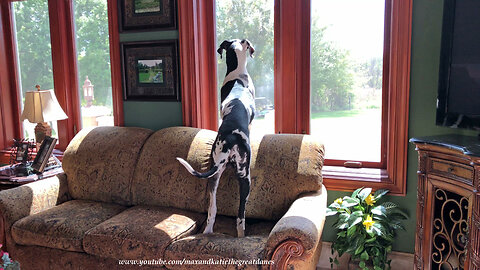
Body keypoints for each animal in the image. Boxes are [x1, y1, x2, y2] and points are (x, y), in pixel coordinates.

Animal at [177, 39, 255, 237]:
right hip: (245, 177)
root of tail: (230, 139)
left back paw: (207, 231)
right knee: (240, 217)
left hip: (214, 177)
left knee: (212, 210)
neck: (237, 72)